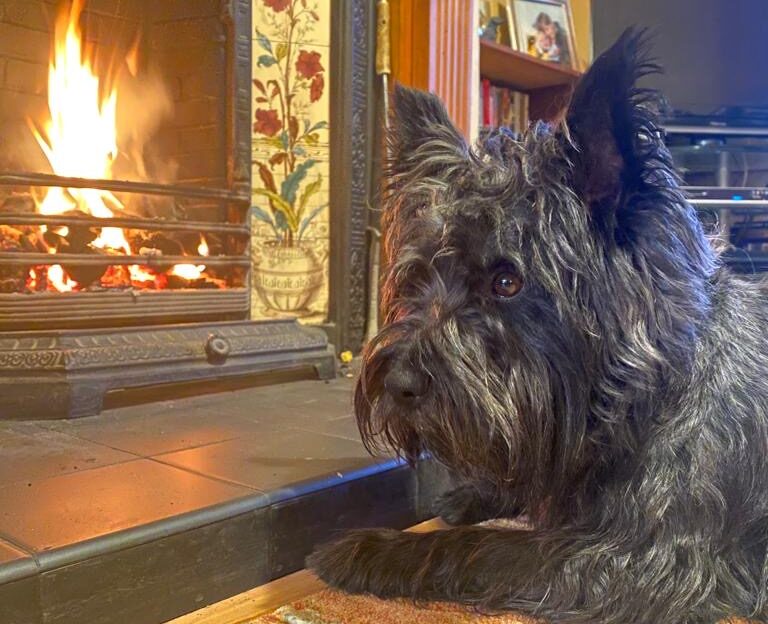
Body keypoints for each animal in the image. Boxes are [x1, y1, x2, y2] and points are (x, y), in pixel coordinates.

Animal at [306, 26, 768, 620]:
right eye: (418, 277)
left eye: (507, 281)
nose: (399, 384)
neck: (652, 393)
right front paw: (475, 494)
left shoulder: (637, 562)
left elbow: (481, 547)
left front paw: (370, 548)